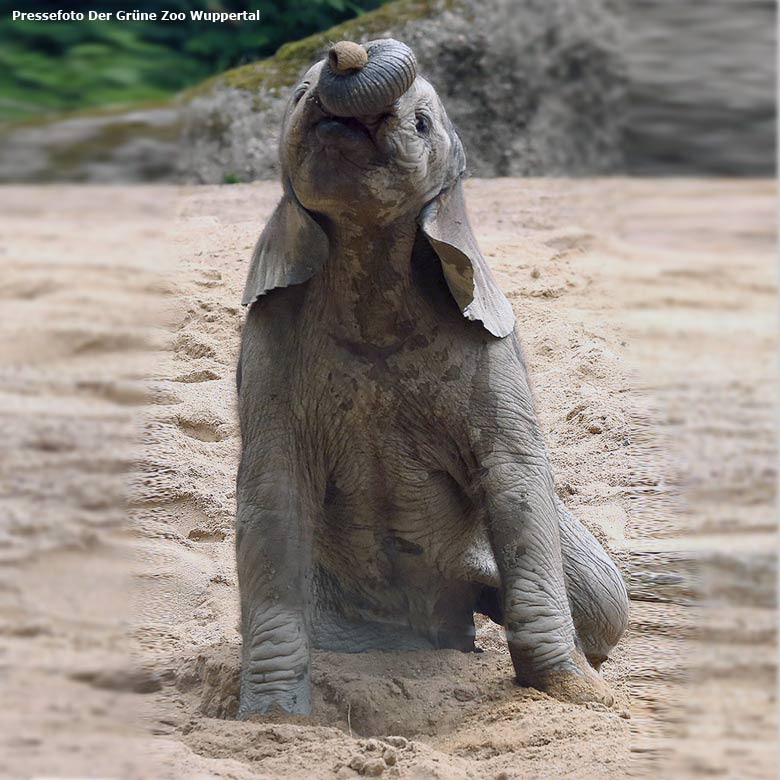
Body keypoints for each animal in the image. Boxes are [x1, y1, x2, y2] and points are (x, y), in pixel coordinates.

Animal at [233, 38, 628, 720]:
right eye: (297, 95)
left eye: (421, 124)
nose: (346, 53)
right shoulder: (267, 345)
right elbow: (270, 494)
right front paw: (271, 721)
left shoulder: (490, 346)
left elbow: (516, 477)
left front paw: (579, 696)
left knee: (606, 600)